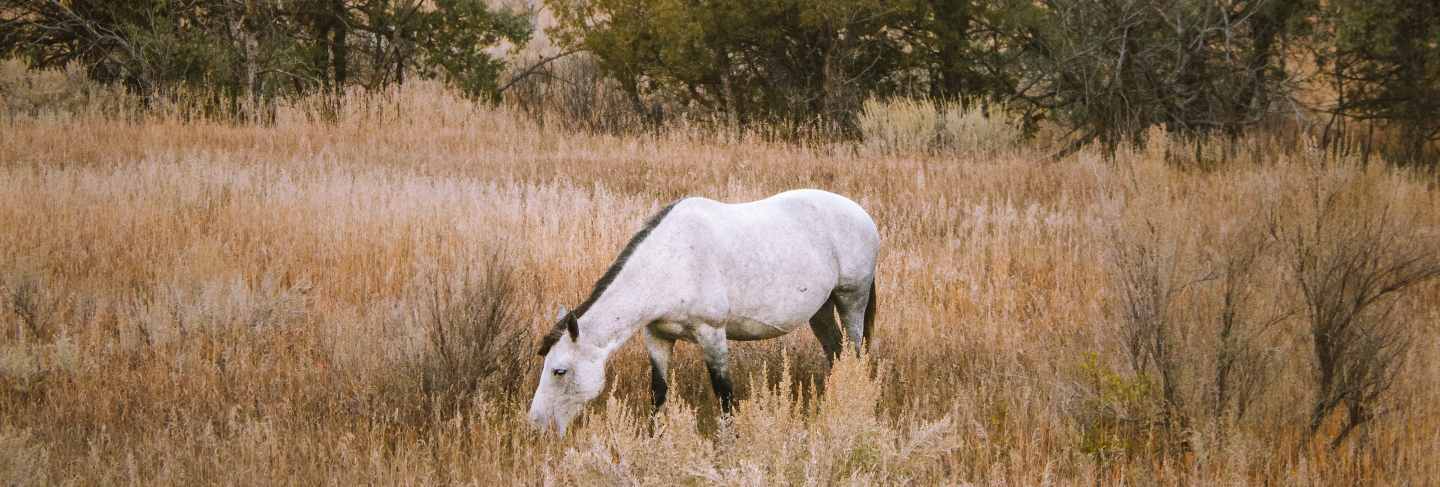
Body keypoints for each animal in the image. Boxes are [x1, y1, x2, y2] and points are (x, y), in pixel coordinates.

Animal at [529, 188, 875, 435]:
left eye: (559, 370)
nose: (536, 426)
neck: (672, 262)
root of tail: (863, 216)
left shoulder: (712, 335)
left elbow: (724, 394)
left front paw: (728, 445)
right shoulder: (656, 336)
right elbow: (658, 392)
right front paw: (655, 440)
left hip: (851, 300)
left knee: (855, 352)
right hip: (821, 309)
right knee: (836, 352)